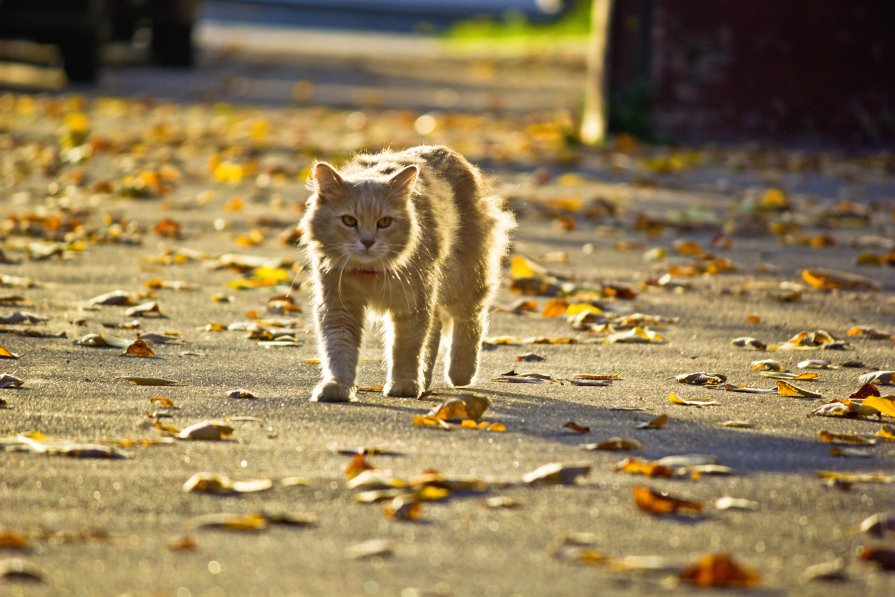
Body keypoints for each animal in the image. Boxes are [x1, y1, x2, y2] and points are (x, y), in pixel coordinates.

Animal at [300, 147, 516, 402]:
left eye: (384, 222)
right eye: (349, 220)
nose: (367, 242)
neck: (370, 273)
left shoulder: (411, 303)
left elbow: (405, 348)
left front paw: (403, 384)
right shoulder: (339, 307)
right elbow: (339, 350)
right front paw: (337, 386)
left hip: (463, 280)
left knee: (470, 321)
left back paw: (460, 373)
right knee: (435, 330)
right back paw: (426, 378)